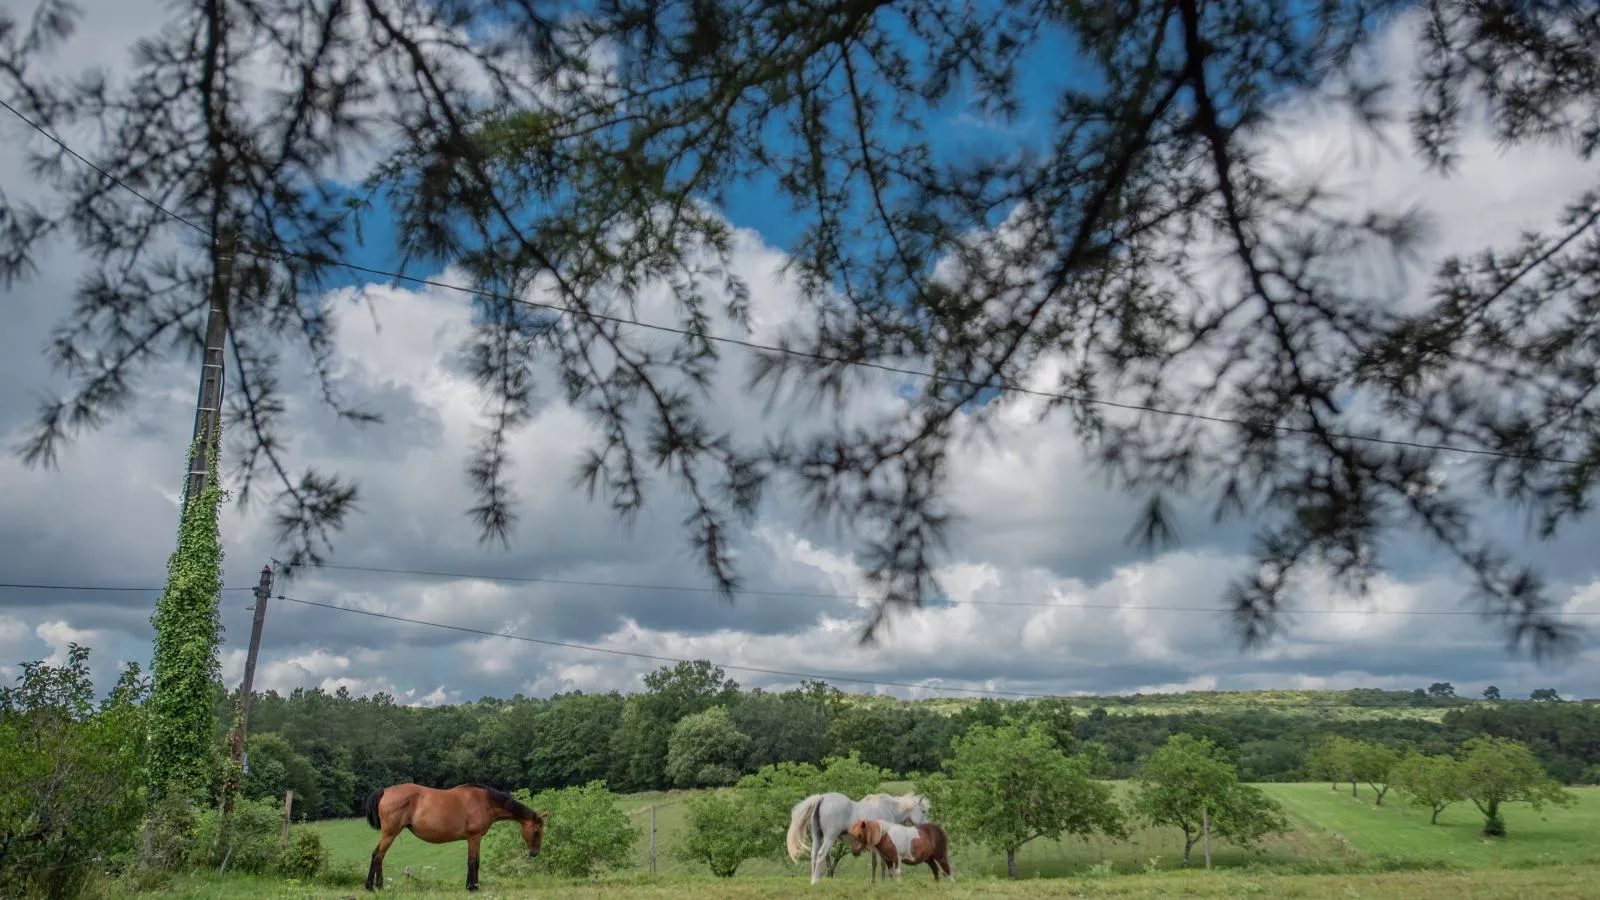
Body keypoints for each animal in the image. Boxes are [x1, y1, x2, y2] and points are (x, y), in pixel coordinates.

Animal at [361, 781, 547, 883]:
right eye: (537, 831)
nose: (535, 853)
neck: (486, 801)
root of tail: (385, 791)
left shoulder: (474, 839)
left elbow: (474, 862)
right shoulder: (474, 837)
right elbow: (473, 862)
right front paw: (472, 887)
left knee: (379, 857)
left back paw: (379, 886)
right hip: (389, 834)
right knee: (377, 856)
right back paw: (371, 886)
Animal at [784, 787, 934, 877]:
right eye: (923, 811)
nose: (925, 827)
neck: (889, 808)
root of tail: (822, 798)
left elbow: (875, 863)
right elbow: (883, 863)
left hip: (817, 836)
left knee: (814, 856)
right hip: (830, 837)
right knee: (821, 855)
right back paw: (816, 881)